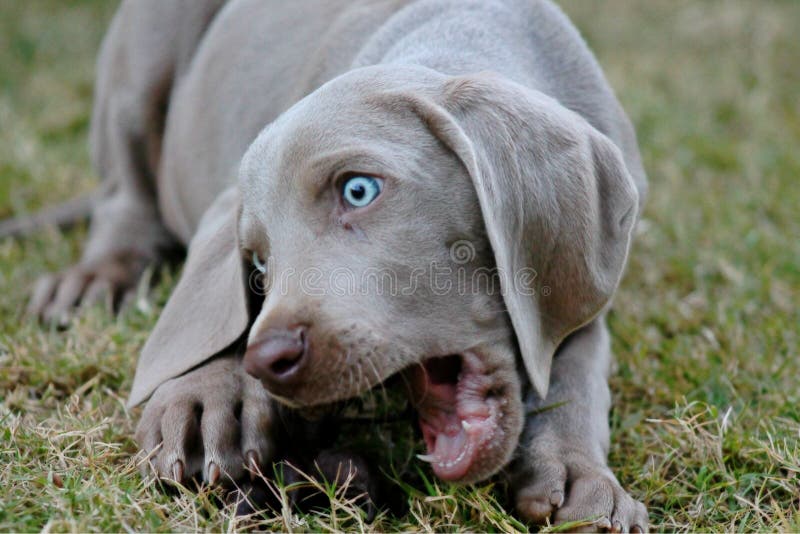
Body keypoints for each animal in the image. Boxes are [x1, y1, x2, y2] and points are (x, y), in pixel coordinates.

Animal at [20, 0, 648, 532]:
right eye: (259, 265)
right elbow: (212, 306)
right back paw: (96, 280)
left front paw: (580, 477)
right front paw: (207, 392)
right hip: (145, 52)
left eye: (358, 189)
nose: (268, 361)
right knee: (125, 191)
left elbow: (576, 365)